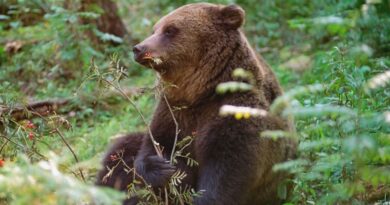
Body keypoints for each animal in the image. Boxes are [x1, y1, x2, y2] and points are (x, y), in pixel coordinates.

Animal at [96, 2, 298, 205]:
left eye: (170, 30)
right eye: (154, 29)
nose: (138, 48)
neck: (203, 92)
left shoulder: (237, 112)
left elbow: (227, 171)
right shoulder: (173, 110)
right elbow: (153, 146)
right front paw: (160, 167)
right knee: (121, 151)